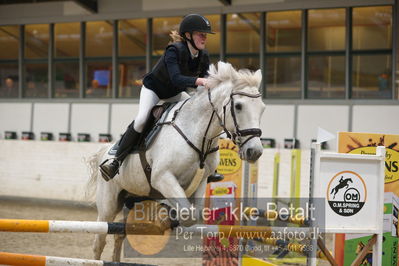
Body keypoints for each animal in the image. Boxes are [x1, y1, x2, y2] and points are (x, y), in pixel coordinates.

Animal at [86, 61, 268, 260]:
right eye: (239, 106)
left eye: (262, 108)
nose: (255, 152)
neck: (198, 133)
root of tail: (105, 151)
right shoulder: (163, 177)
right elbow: (188, 214)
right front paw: (166, 217)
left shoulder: (201, 182)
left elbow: (194, 213)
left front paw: (167, 216)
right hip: (109, 203)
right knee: (99, 241)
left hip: (138, 198)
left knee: (120, 233)